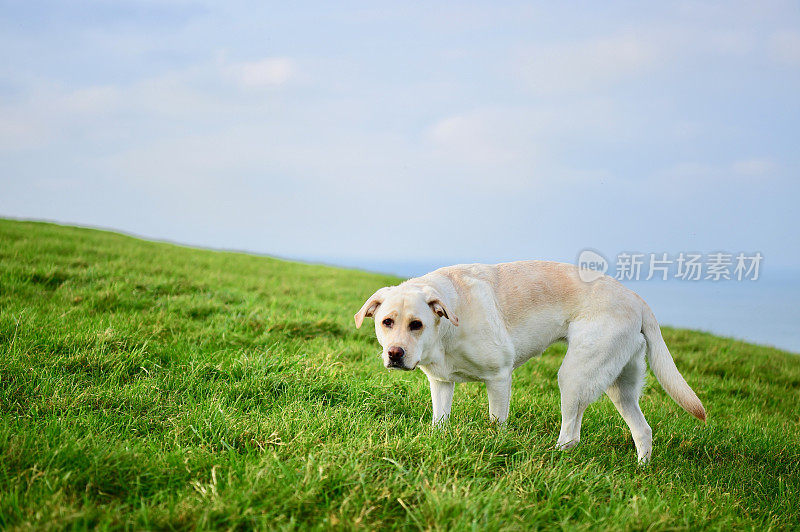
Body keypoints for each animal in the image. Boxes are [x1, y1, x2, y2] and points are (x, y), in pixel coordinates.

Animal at [354, 262, 704, 462]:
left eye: (416, 324)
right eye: (387, 322)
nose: (395, 354)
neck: (450, 320)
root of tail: (636, 298)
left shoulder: (498, 377)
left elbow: (496, 423)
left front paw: (496, 447)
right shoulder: (441, 383)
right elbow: (440, 421)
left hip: (574, 375)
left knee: (572, 434)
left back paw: (554, 458)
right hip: (620, 387)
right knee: (643, 431)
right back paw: (641, 469)